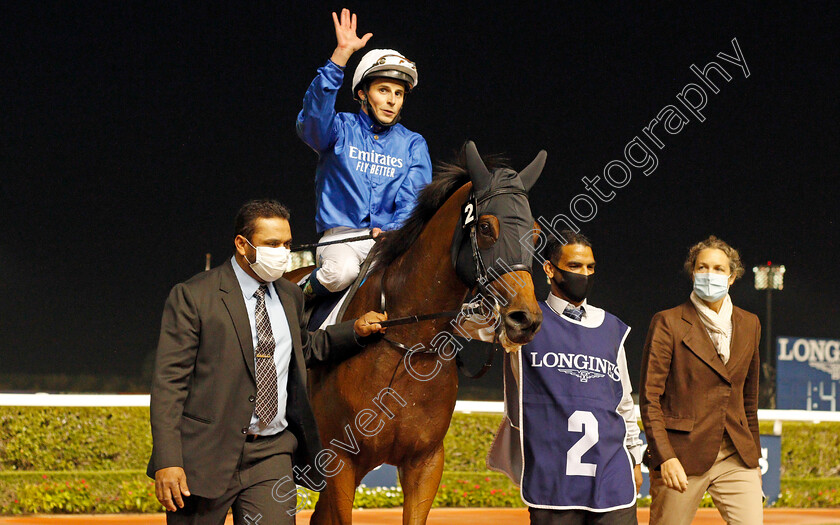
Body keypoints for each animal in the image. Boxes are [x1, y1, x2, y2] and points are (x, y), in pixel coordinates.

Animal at [292, 141, 548, 520]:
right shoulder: (340, 460)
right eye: (487, 227)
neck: (405, 343)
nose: (524, 318)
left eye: (535, 233)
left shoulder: (425, 462)